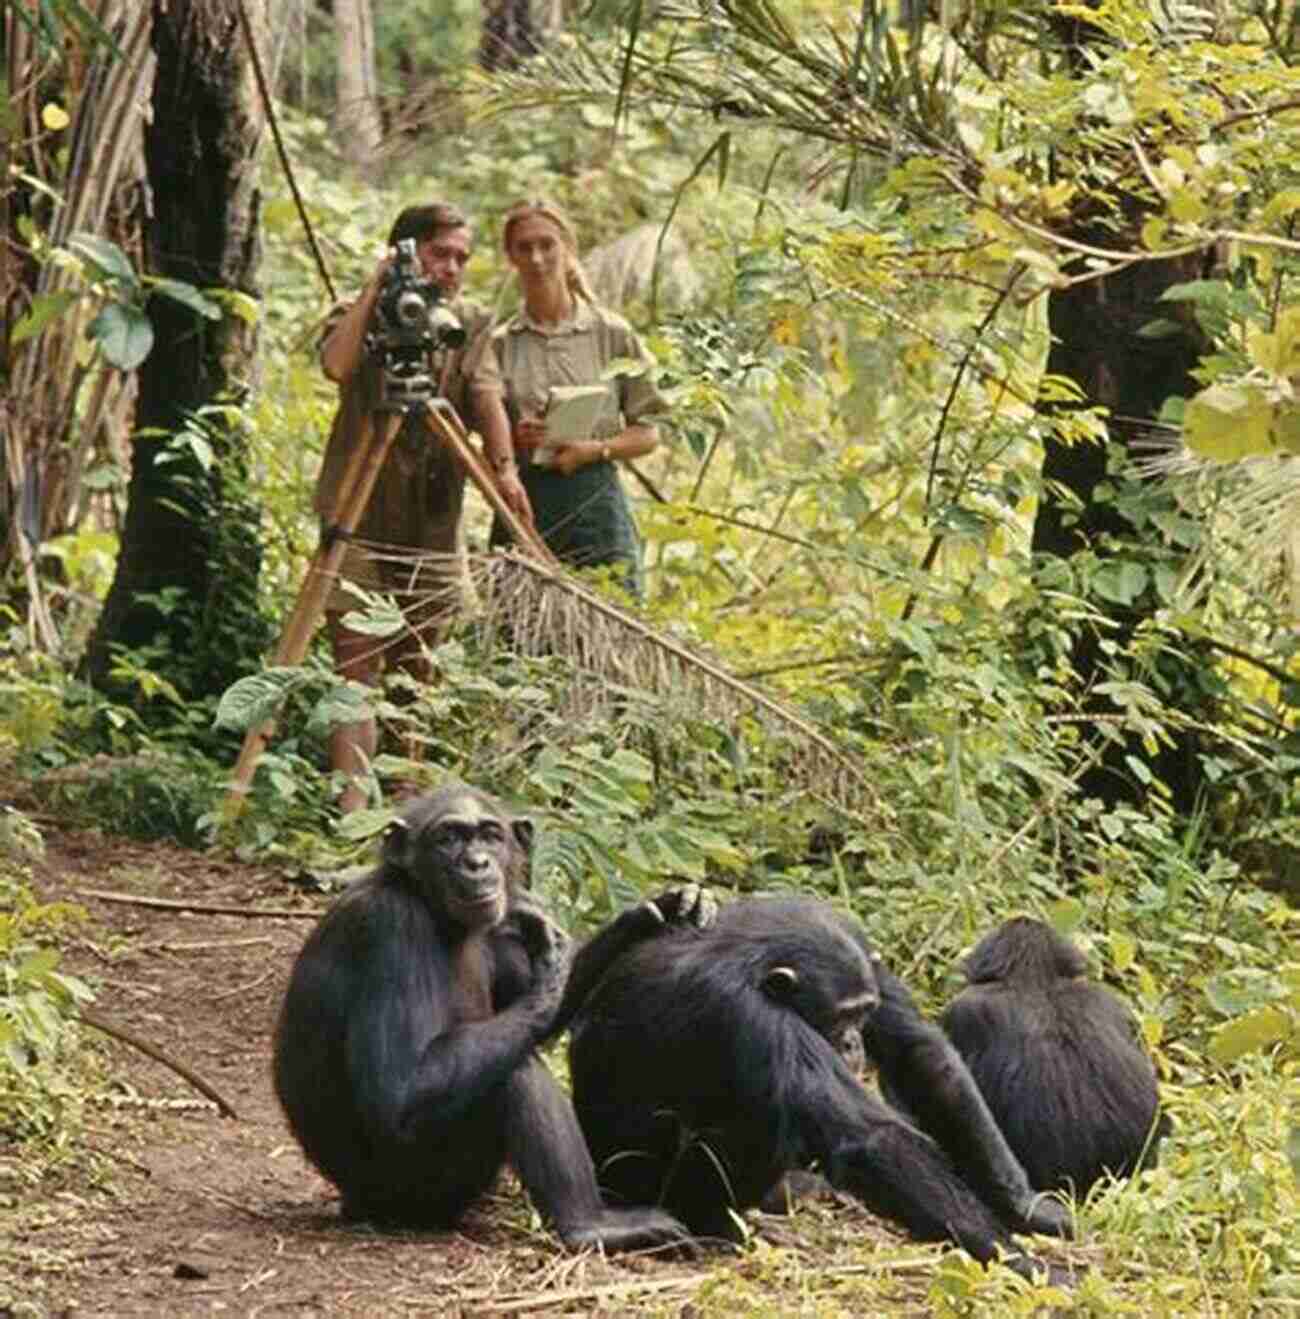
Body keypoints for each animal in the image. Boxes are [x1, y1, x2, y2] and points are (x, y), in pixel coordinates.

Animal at [268, 786, 706, 1250]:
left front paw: (656, 911)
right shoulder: (390, 927)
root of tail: (355, 1203)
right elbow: (399, 1089)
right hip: (421, 1188)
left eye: (490, 836)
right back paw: (590, 1224)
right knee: (517, 1072)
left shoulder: (499, 926)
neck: (431, 905)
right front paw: (552, 970)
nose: (477, 862)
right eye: (448, 838)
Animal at [561, 891, 1070, 1271]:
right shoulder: (746, 1012)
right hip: (640, 1186)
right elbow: (869, 1140)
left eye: (863, 1012)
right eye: (841, 1016)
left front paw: (1023, 1206)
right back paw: (718, 1227)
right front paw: (1020, 1264)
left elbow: (918, 1051)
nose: (853, 1042)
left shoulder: (861, 950)